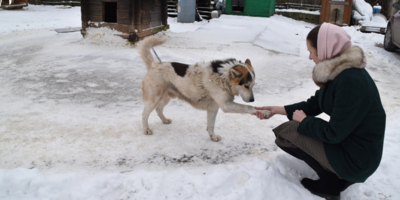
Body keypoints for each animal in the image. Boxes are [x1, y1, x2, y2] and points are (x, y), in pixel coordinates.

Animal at [139, 36, 270, 142]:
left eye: (253, 85)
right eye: (246, 86)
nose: (252, 100)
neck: (224, 77)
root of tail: (155, 64)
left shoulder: (213, 108)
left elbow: (211, 126)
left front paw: (213, 137)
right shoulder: (226, 105)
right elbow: (248, 108)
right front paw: (264, 112)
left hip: (166, 97)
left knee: (159, 109)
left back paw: (165, 120)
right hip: (153, 99)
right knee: (145, 114)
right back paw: (146, 129)